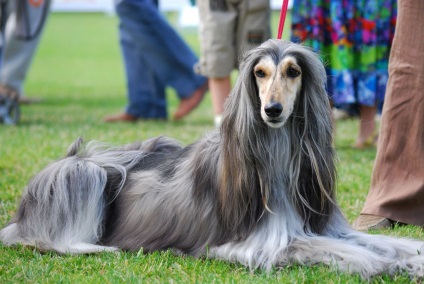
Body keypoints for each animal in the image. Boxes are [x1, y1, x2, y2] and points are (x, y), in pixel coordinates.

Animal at [2, 40, 424, 280]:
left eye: (293, 71)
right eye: (259, 73)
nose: (272, 110)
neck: (276, 156)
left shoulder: (327, 227)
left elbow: (384, 242)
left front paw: (409, 258)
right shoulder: (258, 244)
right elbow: (341, 250)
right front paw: (378, 264)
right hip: (80, 173)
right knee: (48, 238)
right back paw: (97, 246)